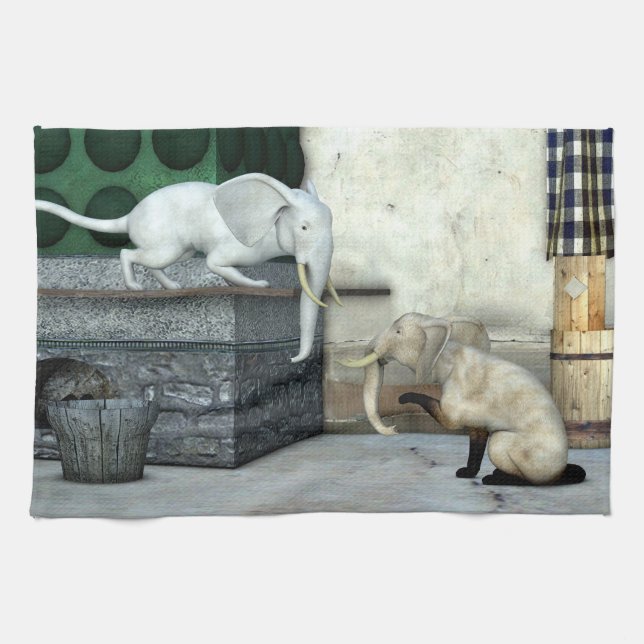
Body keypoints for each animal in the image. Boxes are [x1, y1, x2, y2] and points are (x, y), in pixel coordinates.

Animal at [35, 173, 341, 362]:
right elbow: (215, 264)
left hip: (179, 250)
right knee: (129, 253)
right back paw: (134, 286)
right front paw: (258, 285)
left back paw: (172, 286)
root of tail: (129, 217)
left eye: (331, 220)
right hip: (165, 244)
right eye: (304, 228)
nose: (292, 358)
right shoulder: (234, 247)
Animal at [339, 312, 585, 485]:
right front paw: (466, 473)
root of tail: (560, 472)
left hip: (527, 454)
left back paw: (494, 479)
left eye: (398, 332)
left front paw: (403, 398)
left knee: (511, 456)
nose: (394, 429)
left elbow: (451, 422)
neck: (447, 351)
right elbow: (476, 435)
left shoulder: (460, 394)